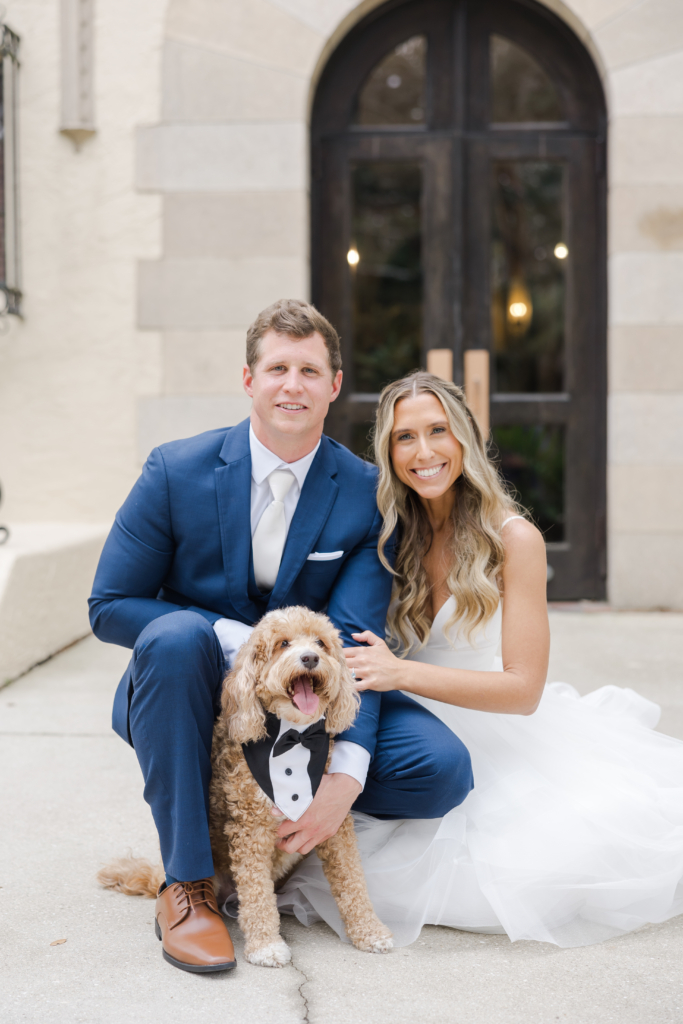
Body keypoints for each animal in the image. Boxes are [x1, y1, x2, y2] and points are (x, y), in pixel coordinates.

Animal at [98, 606, 393, 966]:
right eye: (283, 644)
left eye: (321, 643)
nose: (310, 658)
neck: (293, 735)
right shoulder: (252, 829)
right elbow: (255, 892)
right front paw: (266, 944)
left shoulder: (333, 821)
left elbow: (352, 880)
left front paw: (370, 931)